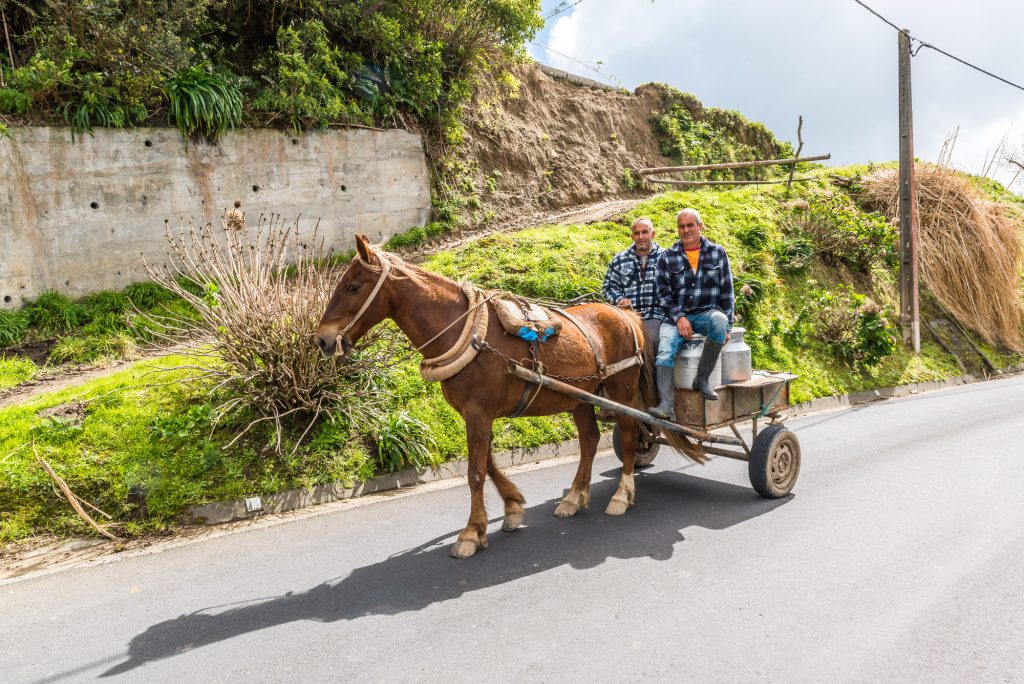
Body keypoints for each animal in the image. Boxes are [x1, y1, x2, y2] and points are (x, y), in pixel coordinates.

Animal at [315, 237, 700, 557]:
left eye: (352, 287)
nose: (322, 339)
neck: (466, 331)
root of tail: (625, 312)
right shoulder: (475, 414)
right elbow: (486, 463)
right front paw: (512, 507)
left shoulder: (478, 412)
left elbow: (475, 472)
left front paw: (471, 533)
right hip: (581, 398)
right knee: (590, 441)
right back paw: (575, 497)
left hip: (621, 391)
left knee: (631, 435)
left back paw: (621, 495)